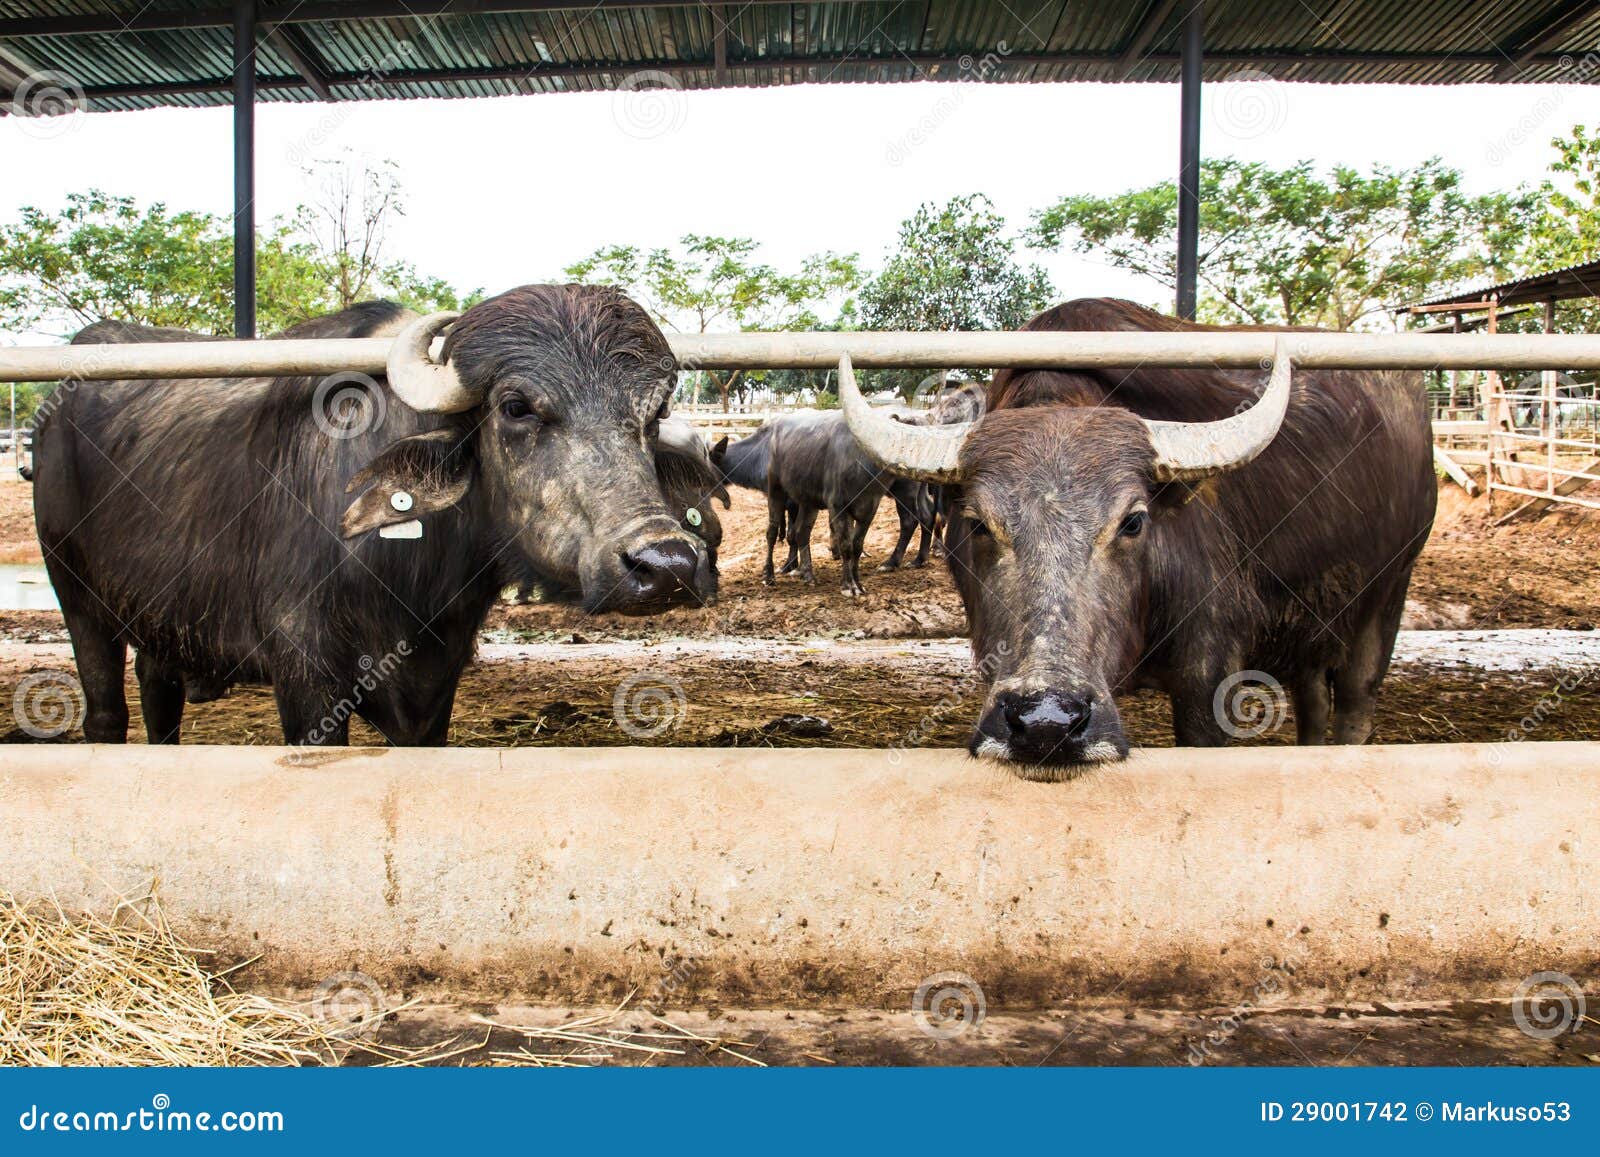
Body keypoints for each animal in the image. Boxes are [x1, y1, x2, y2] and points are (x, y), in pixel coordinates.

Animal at [35, 286, 715, 745]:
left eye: (654, 412)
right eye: (517, 407)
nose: (665, 564)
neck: (411, 573)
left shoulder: (434, 688)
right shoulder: (304, 678)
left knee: (159, 692)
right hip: (75, 593)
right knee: (106, 711)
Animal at [841, 298, 1436, 777]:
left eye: (1133, 521)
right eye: (978, 523)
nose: (1047, 723)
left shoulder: (1209, 675)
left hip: (1388, 595)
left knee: (1355, 701)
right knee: (1314, 699)